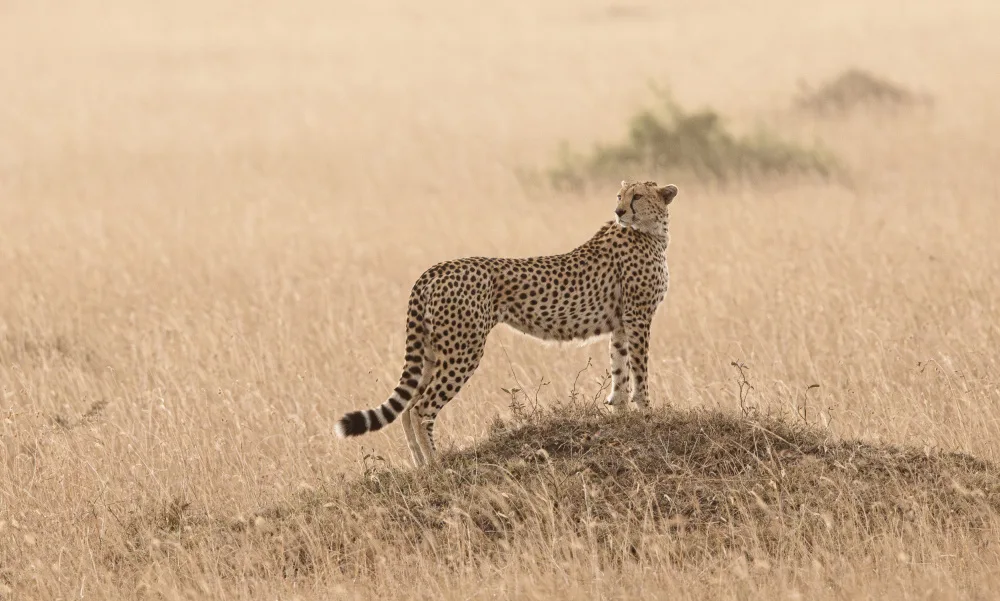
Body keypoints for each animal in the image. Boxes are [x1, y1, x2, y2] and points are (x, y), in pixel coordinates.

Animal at [335, 180, 678, 467]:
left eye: (637, 196)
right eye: (620, 196)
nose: (619, 211)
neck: (651, 231)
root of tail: (434, 269)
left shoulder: (621, 324)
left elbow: (620, 371)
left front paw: (622, 416)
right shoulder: (638, 317)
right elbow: (640, 371)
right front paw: (647, 413)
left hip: (432, 350)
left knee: (407, 408)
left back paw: (419, 466)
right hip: (463, 350)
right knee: (422, 408)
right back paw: (437, 466)